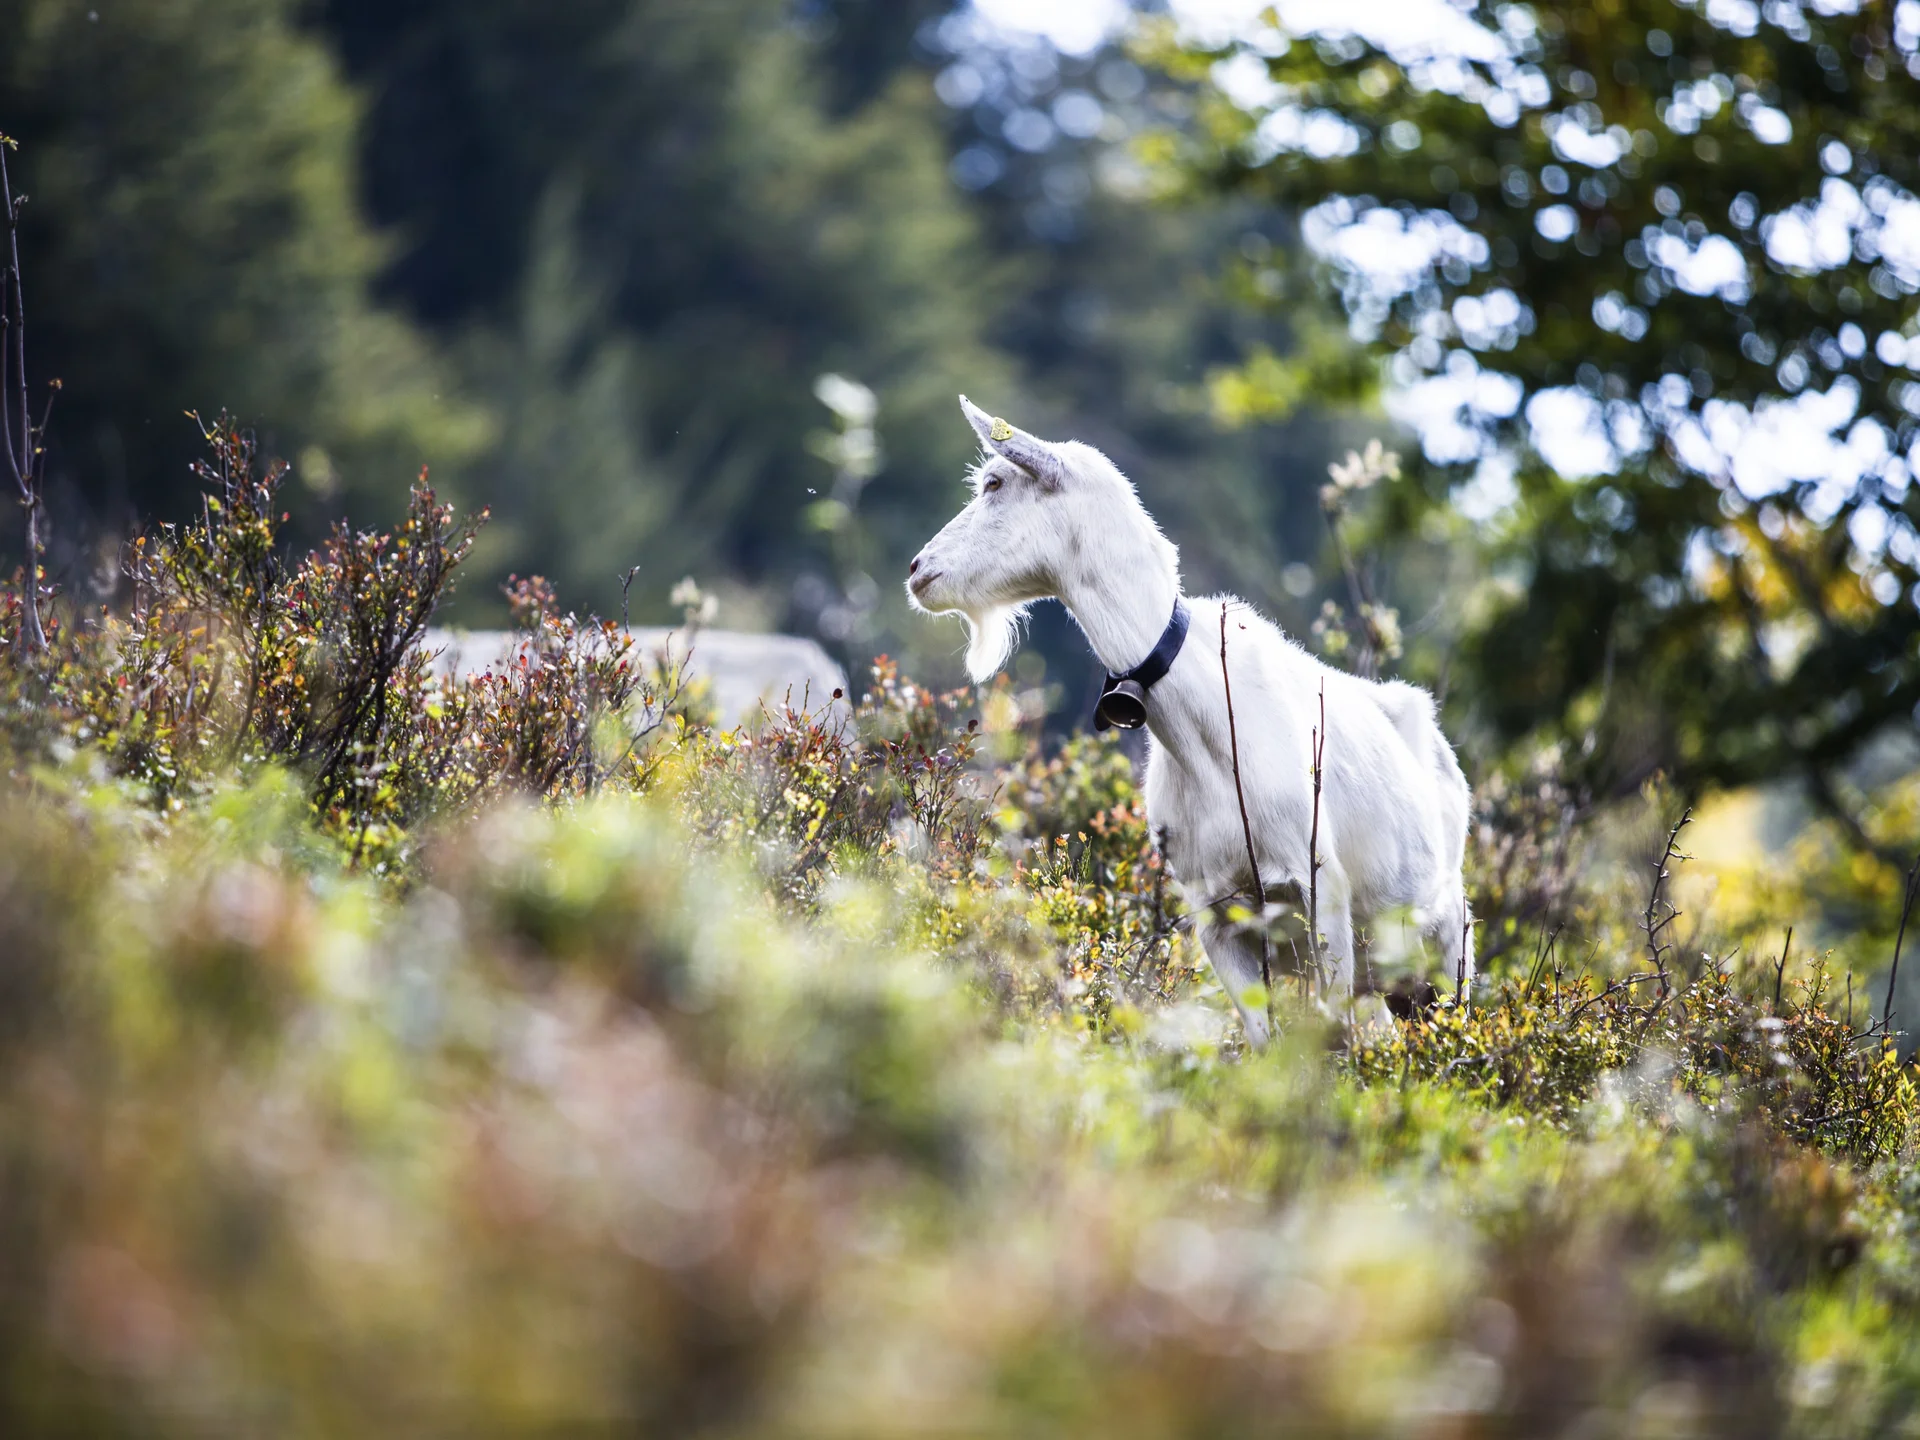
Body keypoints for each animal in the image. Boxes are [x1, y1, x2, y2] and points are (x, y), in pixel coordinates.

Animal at [907, 397, 1473, 1044]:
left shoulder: (1320, 887)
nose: (918, 570)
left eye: (995, 483)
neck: (1207, 734)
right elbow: (1264, 1040)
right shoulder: (1217, 914)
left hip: (1449, 943)